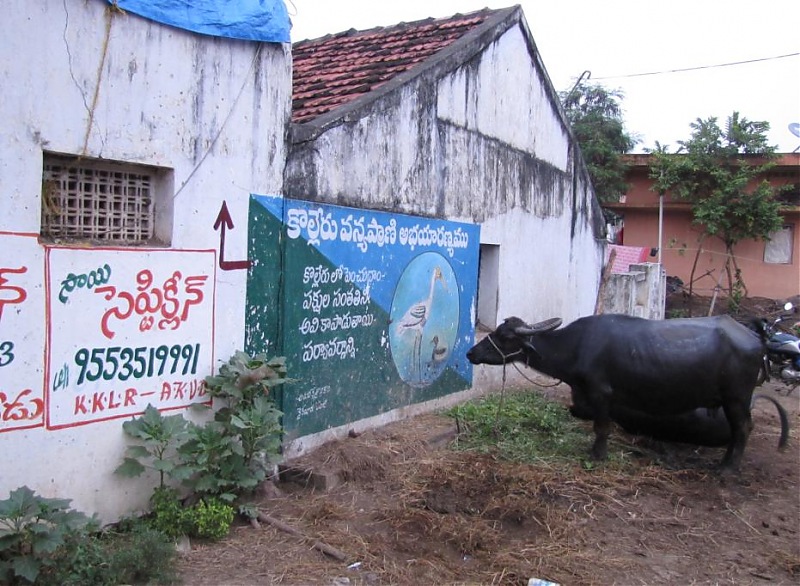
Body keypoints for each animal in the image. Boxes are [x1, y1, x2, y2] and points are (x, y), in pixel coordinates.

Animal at [466, 312, 764, 468]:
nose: (471, 353)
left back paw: (727, 469)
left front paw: (598, 454)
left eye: (504, 337)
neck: (576, 346)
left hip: (736, 398)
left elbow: (602, 427)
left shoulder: (601, 393)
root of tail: (755, 340)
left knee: (743, 428)